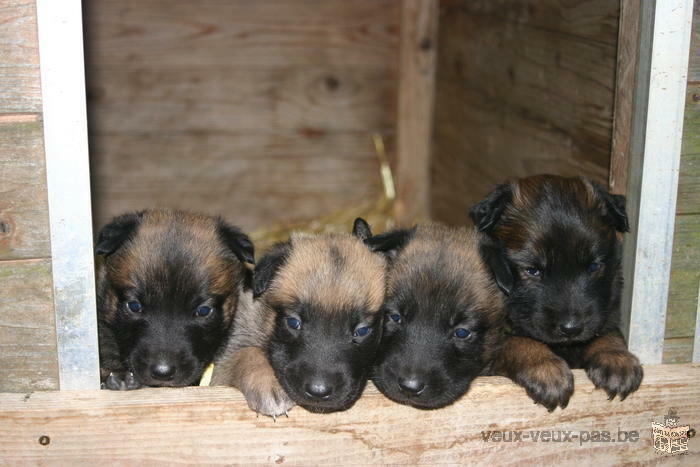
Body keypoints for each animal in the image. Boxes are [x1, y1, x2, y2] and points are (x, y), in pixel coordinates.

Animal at [470, 175, 644, 410]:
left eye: (593, 266)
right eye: (533, 270)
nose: (571, 329)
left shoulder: (606, 311)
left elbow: (608, 332)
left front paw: (617, 357)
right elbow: (515, 341)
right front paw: (545, 368)